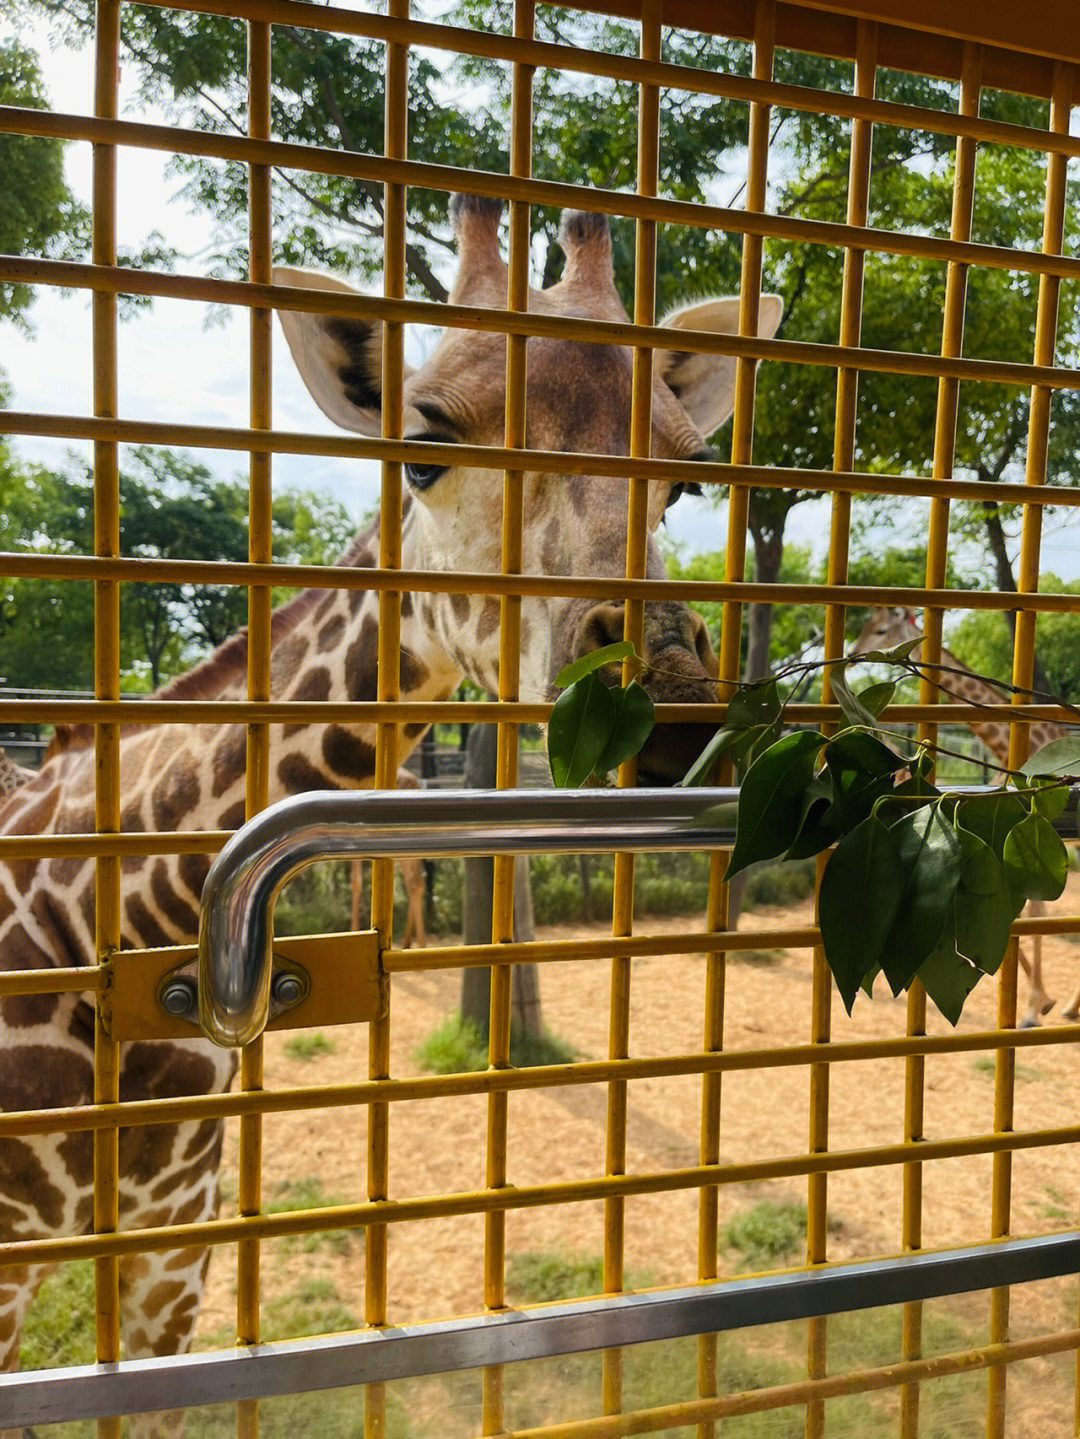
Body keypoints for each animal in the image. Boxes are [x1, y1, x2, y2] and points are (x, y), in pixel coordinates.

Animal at [851, 601, 1075, 1030]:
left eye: (882, 630)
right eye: (867, 625)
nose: (854, 654)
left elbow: (1035, 909)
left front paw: (1035, 1006)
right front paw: (1041, 1002)